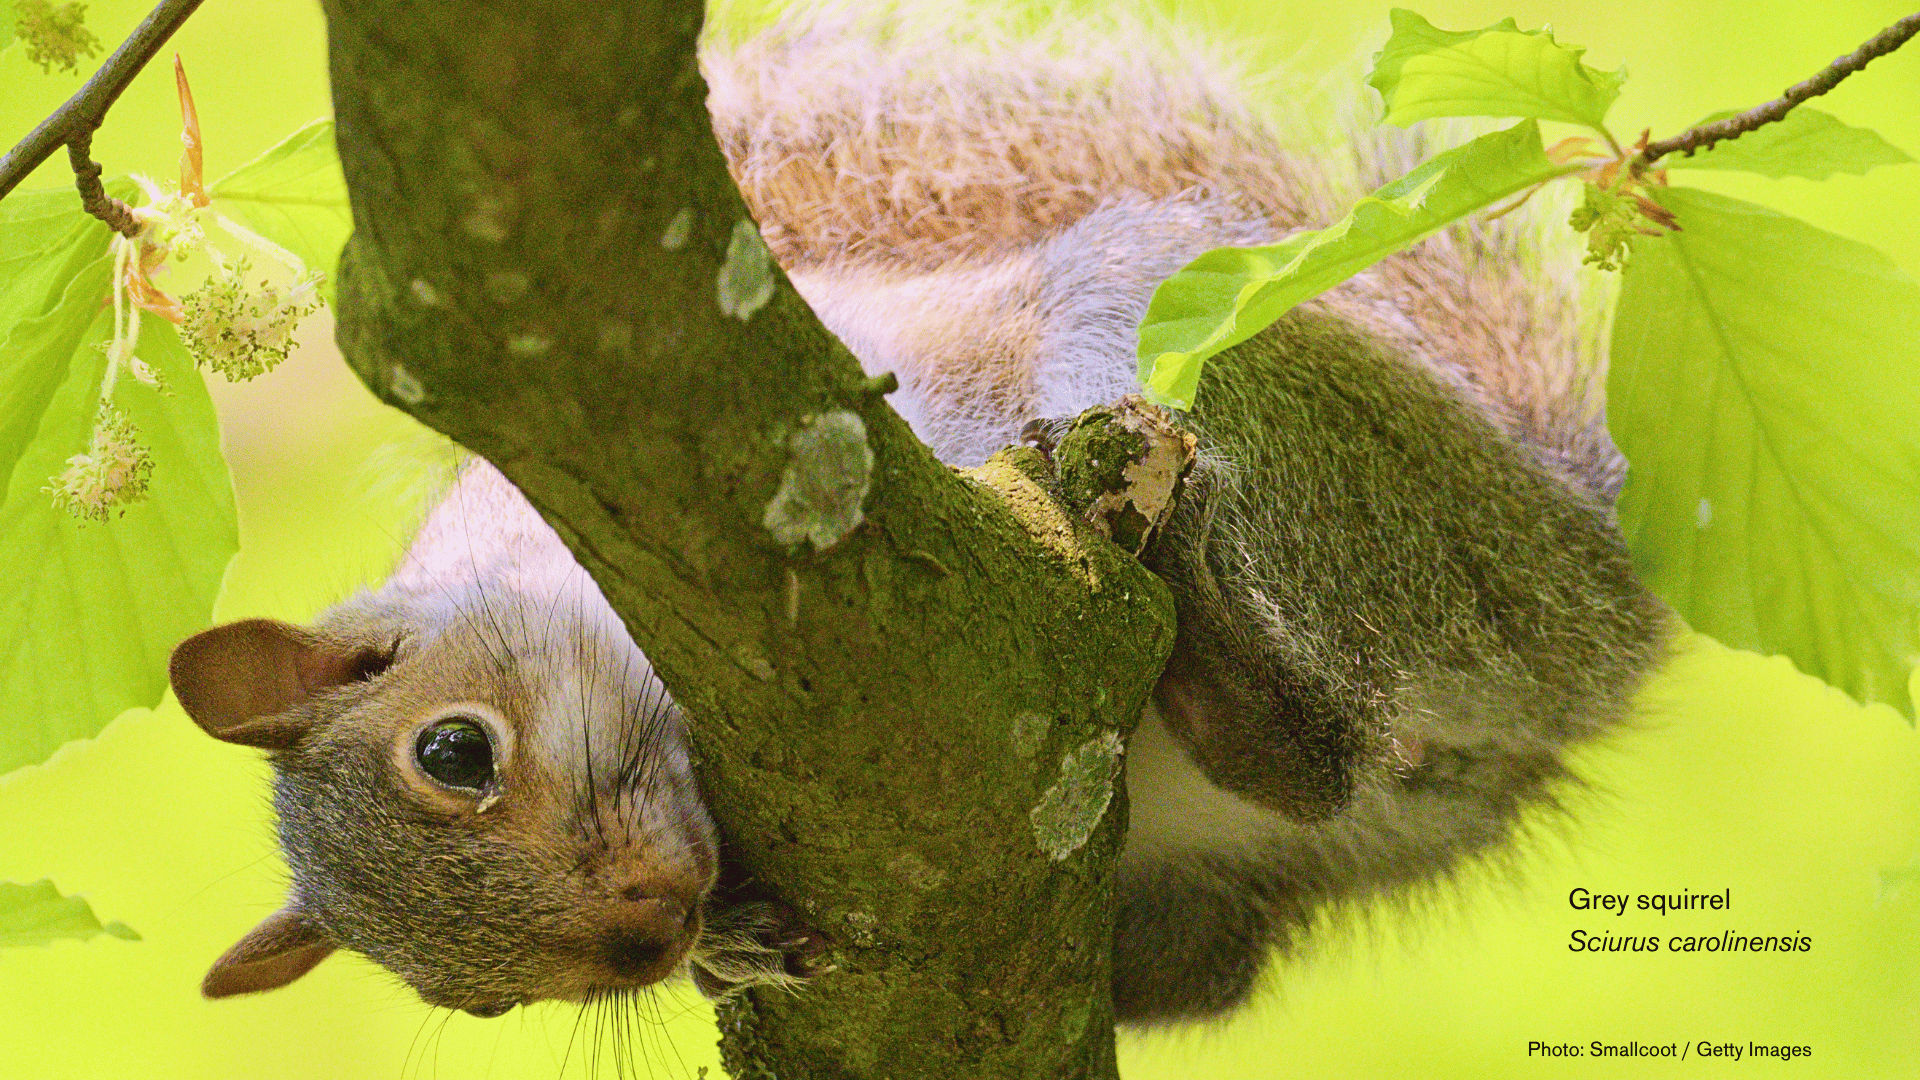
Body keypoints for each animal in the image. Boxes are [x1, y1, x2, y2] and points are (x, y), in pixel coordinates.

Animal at [166, 3, 1671, 1027]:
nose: (654, 934)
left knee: (1307, 720)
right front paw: (733, 948)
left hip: (1247, 387)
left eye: (455, 754)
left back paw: (1222, 661)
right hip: (1267, 874)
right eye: (469, 998)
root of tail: (1590, 602)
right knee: (1246, 912)